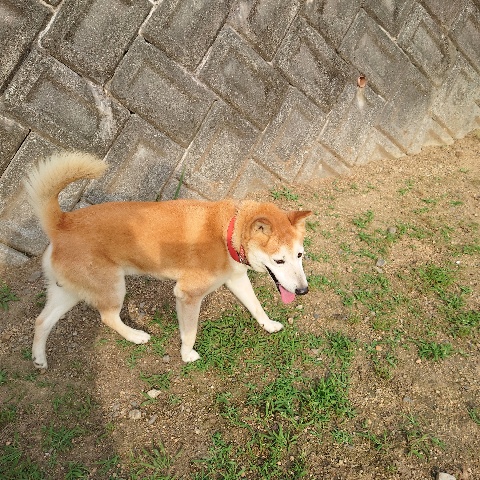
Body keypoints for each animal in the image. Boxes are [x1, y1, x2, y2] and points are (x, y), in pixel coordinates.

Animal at [24, 152, 311, 369]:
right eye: (279, 261)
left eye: (299, 255)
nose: (303, 291)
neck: (227, 232)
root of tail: (62, 224)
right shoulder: (188, 295)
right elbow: (190, 332)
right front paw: (187, 355)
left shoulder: (236, 279)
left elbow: (256, 306)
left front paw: (269, 325)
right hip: (112, 287)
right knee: (107, 318)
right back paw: (136, 336)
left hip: (68, 292)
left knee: (41, 321)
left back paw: (39, 359)